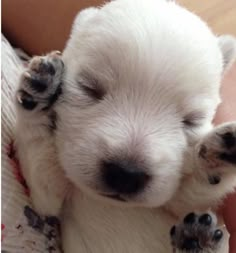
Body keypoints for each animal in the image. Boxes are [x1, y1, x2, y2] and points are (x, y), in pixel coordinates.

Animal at [14, 0, 236, 252]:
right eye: (88, 88)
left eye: (192, 119)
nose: (126, 174)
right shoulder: (50, 202)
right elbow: (42, 174)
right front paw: (40, 90)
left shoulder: (178, 200)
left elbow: (193, 195)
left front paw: (218, 156)